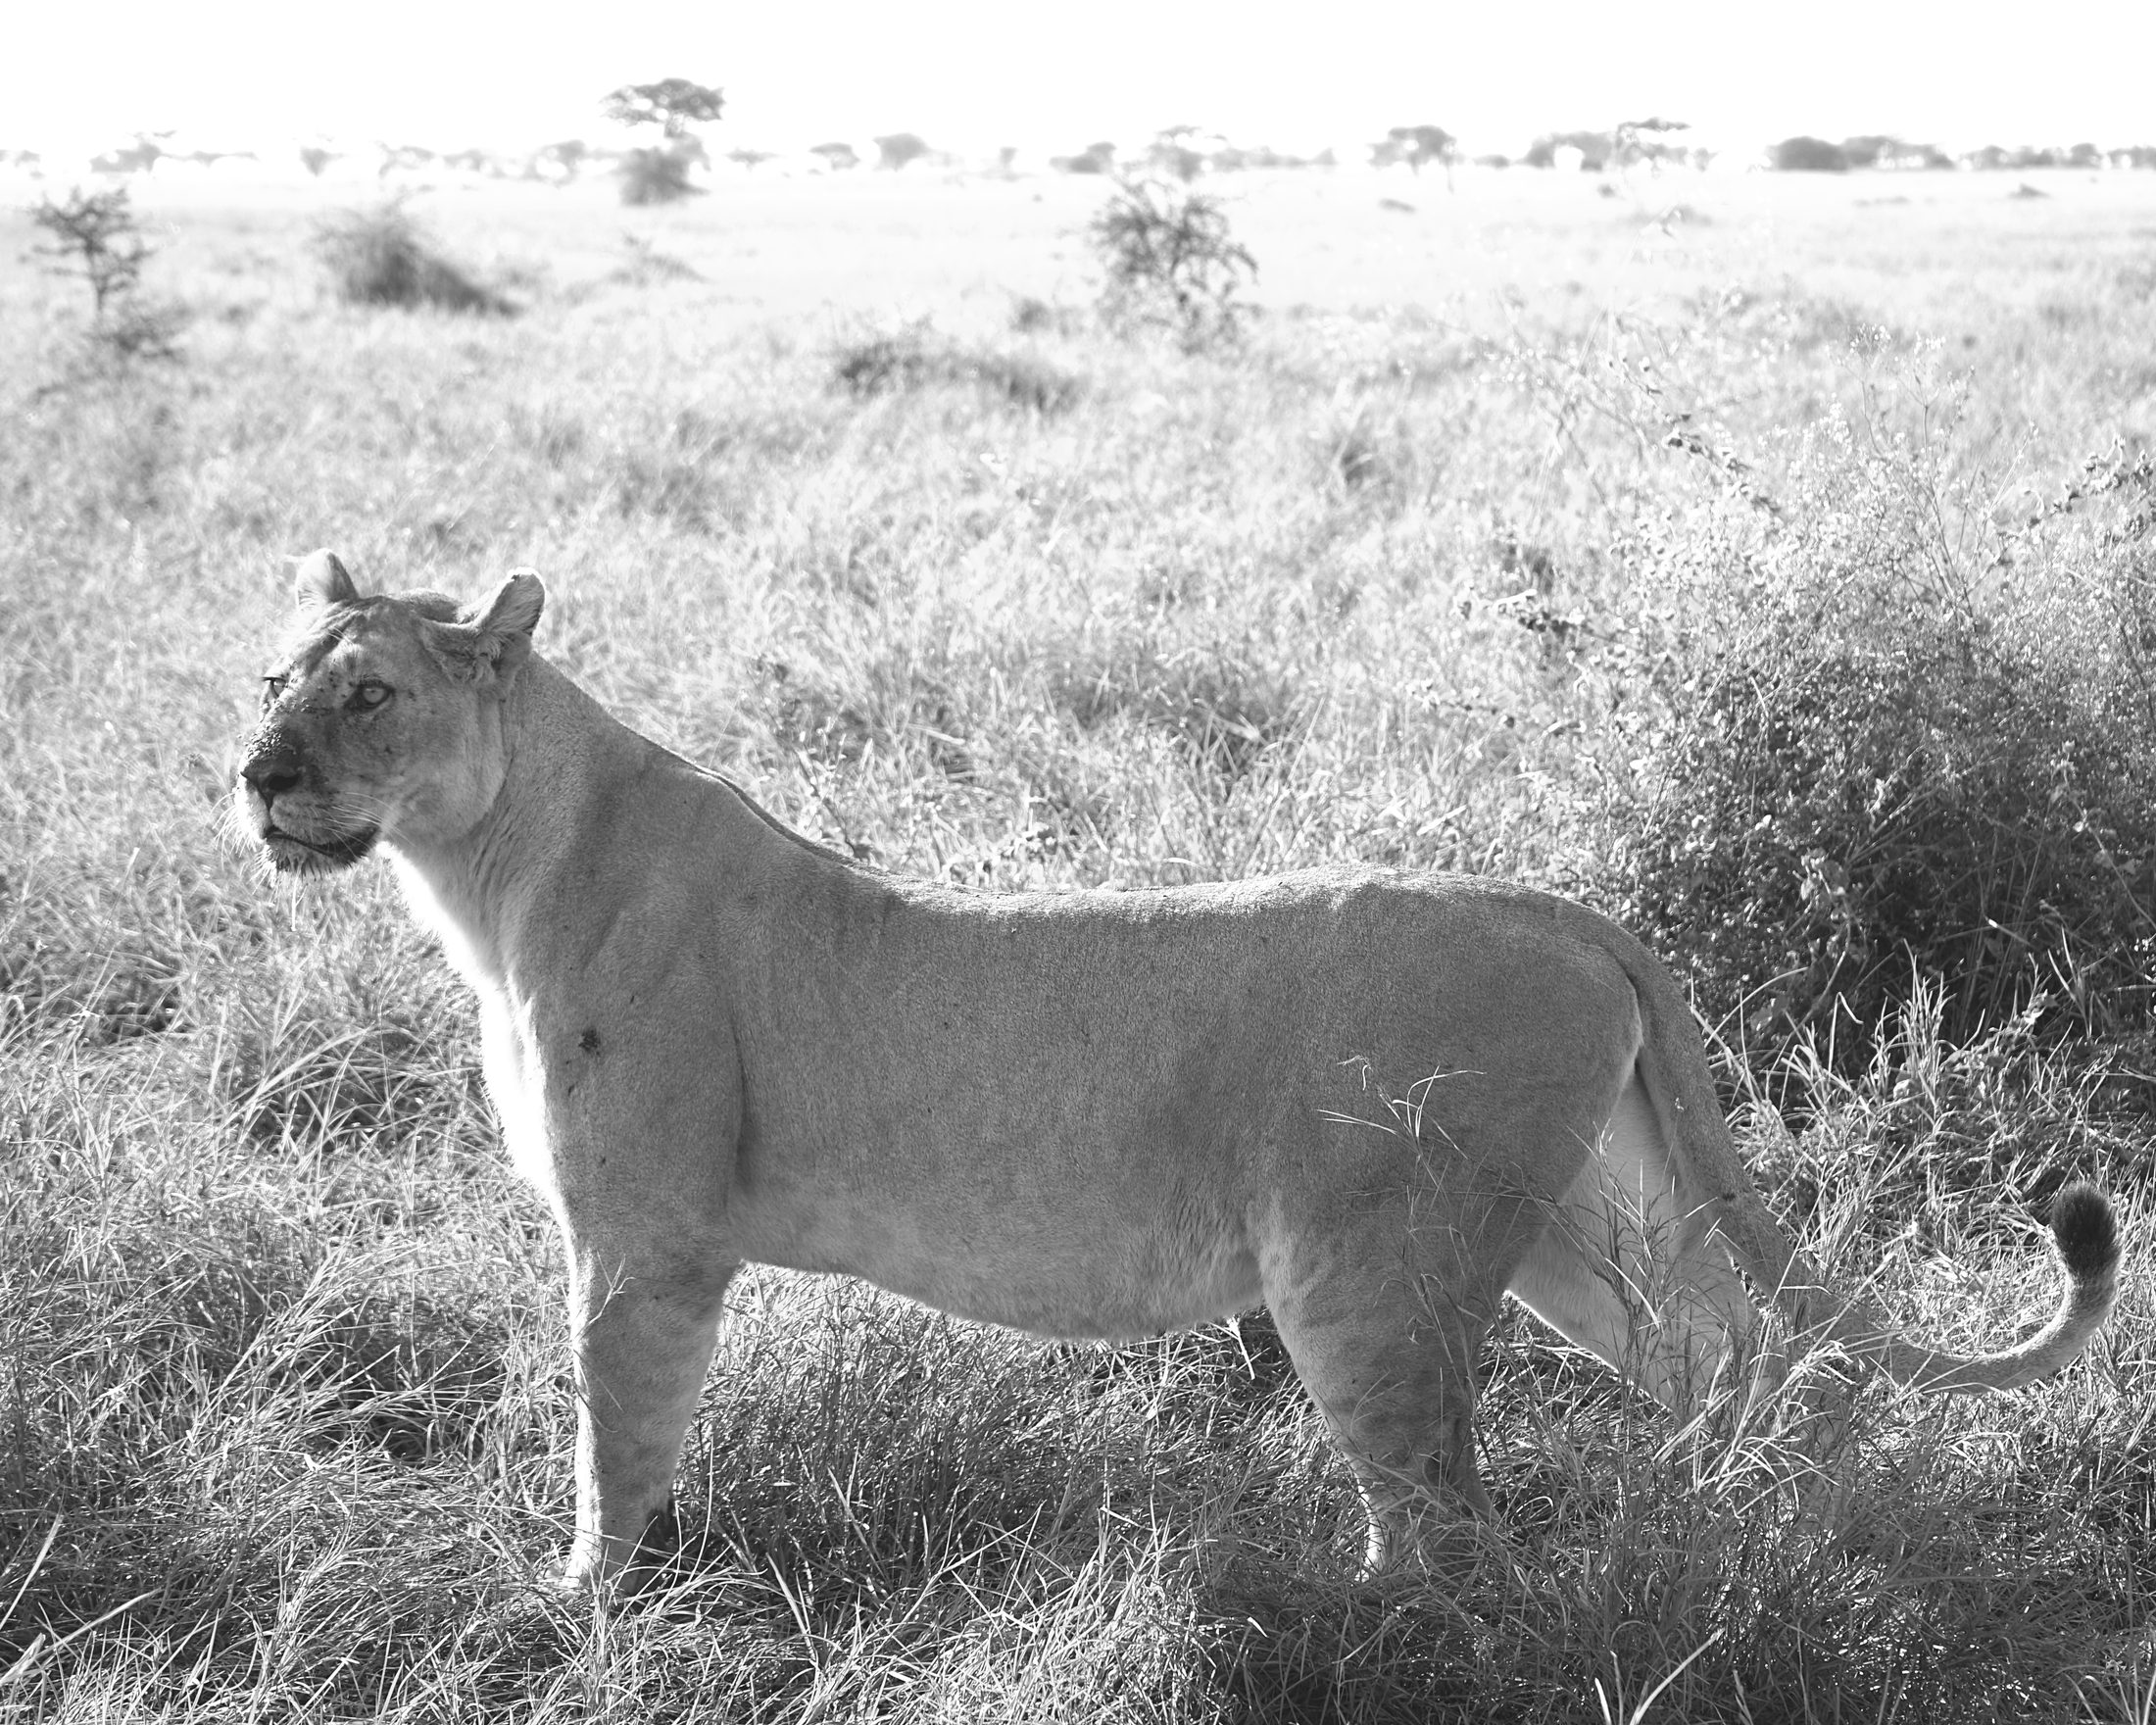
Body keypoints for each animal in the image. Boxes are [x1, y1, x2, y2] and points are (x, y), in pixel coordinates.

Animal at [237, 552, 2121, 1591]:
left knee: (1442, 1515)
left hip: (1367, 1259)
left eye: (371, 695)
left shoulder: (645, 1243)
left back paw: (1361, 1618)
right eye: (273, 678)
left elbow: (612, 1431)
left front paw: (586, 1601)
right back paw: (1750, 1516)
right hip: (1580, 1214)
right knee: (1735, 1356)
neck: (487, 879)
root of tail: (1560, 903)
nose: (254, 776)